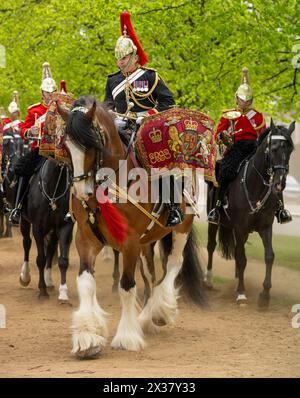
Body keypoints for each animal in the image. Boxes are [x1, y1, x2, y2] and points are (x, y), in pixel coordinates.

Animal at [18, 157, 74, 300]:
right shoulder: (37, 227)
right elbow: (40, 259)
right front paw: (42, 291)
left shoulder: (64, 226)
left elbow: (63, 260)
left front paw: (63, 294)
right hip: (25, 222)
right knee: (27, 243)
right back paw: (25, 276)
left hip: (52, 230)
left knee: (50, 249)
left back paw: (49, 281)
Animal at [58, 95, 207, 358]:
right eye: (67, 146)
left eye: (92, 143)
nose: (81, 192)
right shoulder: (86, 238)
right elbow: (86, 283)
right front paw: (88, 337)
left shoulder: (128, 242)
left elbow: (126, 286)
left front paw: (126, 336)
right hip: (146, 244)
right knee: (151, 276)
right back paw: (146, 316)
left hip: (181, 229)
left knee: (173, 264)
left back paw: (159, 312)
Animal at [206, 121, 296, 308]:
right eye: (274, 148)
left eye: (290, 149)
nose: (280, 183)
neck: (256, 185)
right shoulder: (240, 228)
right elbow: (241, 258)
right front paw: (241, 294)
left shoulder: (265, 227)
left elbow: (269, 256)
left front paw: (264, 296)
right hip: (214, 222)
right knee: (211, 245)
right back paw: (209, 280)